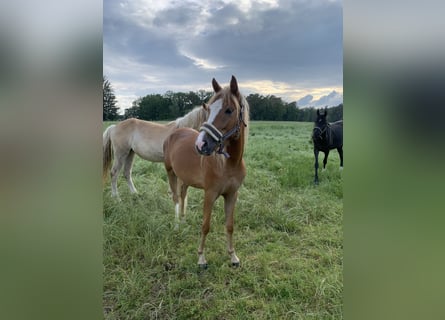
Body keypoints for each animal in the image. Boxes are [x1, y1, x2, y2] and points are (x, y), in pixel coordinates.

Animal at [162, 75, 248, 268]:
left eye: (229, 110)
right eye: (208, 110)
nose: (201, 144)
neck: (228, 164)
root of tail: (174, 133)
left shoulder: (232, 194)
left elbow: (230, 225)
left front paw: (233, 256)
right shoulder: (210, 193)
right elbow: (205, 225)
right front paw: (201, 258)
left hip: (184, 178)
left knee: (183, 194)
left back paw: (184, 221)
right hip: (170, 172)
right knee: (176, 198)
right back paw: (177, 225)